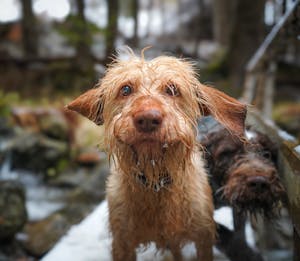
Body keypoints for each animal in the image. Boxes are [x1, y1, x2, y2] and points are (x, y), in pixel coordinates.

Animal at [67, 51, 246, 260]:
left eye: (172, 89)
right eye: (125, 89)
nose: (147, 119)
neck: (156, 183)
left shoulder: (203, 236)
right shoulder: (122, 242)